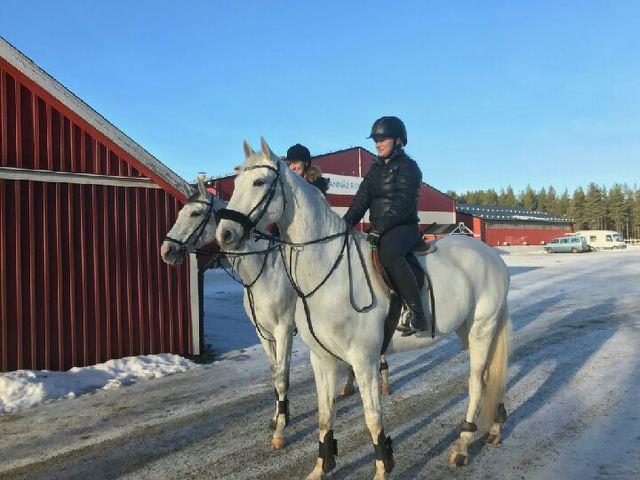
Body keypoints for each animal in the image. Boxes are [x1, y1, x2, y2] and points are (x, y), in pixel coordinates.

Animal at [162, 177, 298, 450]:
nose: (166, 250)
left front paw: (280, 430)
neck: (265, 271)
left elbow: (283, 377)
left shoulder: (284, 331)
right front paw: (279, 417)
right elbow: (275, 373)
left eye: (195, 213)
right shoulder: (264, 333)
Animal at [215, 138, 510, 476]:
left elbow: (372, 417)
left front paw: (382, 467)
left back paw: (462, 446)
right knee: (489, 377)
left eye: (259, 182)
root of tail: (492, 256)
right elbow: (324, 415)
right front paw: (321, 467)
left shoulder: (363, 360)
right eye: (236, 181)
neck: (328, 270)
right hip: (466, 330)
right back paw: (495, 428)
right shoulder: (322, 359)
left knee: (477, 381)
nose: (225, 234)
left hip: (481, 329)